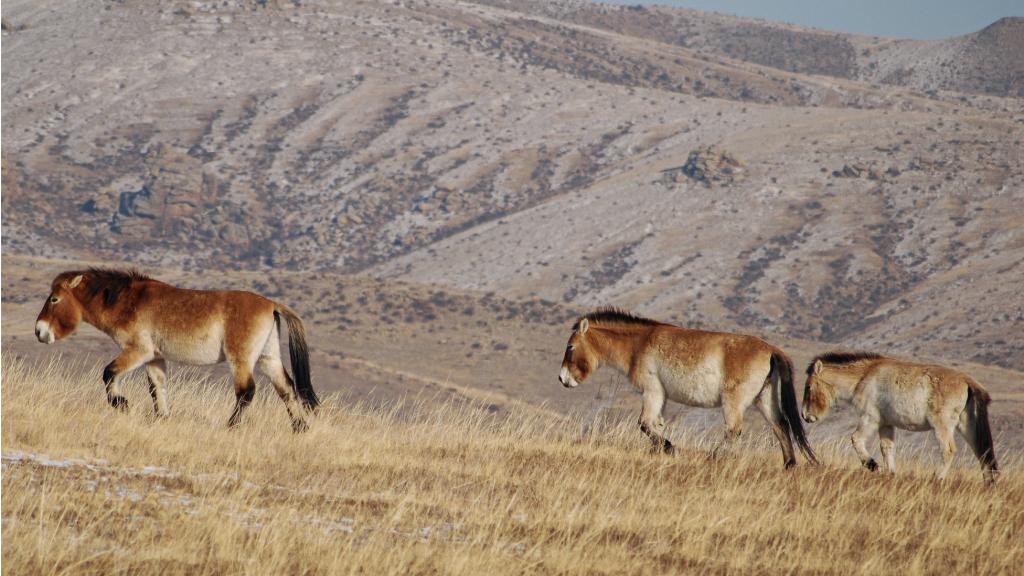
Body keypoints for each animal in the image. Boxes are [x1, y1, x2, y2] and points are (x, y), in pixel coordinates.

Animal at [36, 268, 317, 430]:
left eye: (54, 299)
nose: (39, 331)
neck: (128, 301)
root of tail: (271, 304)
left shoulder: (138, 351)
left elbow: (109, 373)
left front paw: (121, 403)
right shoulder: (154, 358)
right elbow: (157, 388)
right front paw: (161, 418)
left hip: (241, 360)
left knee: (246, 391)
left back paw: (231, 426)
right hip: (268, 358)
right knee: (286, 389)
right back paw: (300, 428)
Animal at [561, 309, 815, 467]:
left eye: (571, 346)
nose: (562, 378)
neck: (639, 343)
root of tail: (772, 350)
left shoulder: (652, 392)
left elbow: (644, 424)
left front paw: (670, 448)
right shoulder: (660, 397)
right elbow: (654, 425)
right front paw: (660, 451)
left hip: (734, 402)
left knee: (734, 430)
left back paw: (713, 457)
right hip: (763, 399)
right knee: (780, 425)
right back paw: (789, 464)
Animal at [802, 350, 995, 479]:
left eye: (809, 386)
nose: (805, 415)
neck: (864, 377)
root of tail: (967, 381)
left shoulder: (870, 419)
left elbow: (856, 439)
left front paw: (873, 465)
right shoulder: (886, 423)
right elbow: (887, 448)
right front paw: (890, 473)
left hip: (942, 426)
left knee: (948, 450)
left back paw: (937, 478)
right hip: (967, 426)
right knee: (982, 452)